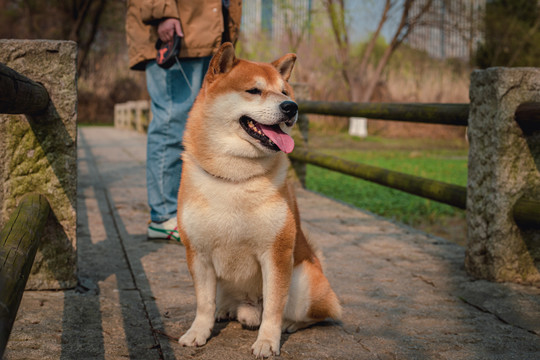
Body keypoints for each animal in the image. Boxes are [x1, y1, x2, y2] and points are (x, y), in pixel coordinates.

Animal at [176, 41, 342, 358]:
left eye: (285, 92)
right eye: (254, 90)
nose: (291, 107)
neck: (235, 178)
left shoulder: (276, 254)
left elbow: (274, 307)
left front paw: (267, 341)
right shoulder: (198, 253)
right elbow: (203, 303)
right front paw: (198, 332)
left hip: (303, 282)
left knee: (315, 314)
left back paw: (290, 324)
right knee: (226, 302)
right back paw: (226, 310)